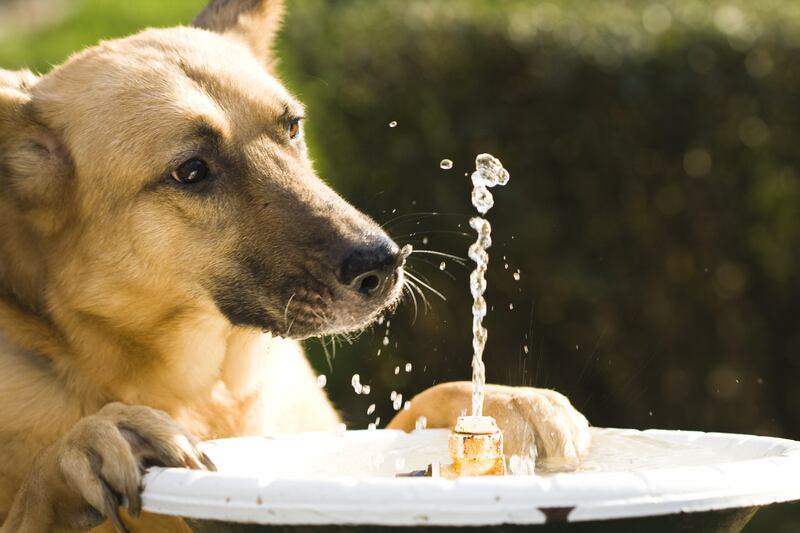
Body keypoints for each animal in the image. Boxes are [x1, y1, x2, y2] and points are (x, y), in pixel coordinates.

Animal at [0, 2, 588, 528]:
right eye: (191, 171)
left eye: (292, 127)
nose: (384, 264)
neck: (203, 387)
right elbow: (38, 493)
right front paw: (93, 442)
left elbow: (413, 415)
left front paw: (504, 404)